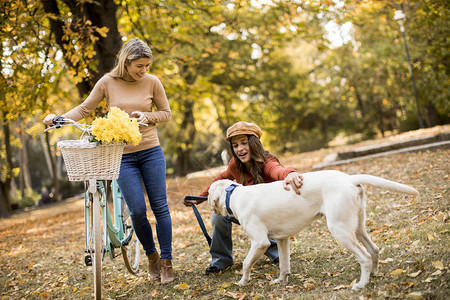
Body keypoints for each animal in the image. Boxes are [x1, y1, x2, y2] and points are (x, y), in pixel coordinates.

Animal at [207, 171, 418, 290]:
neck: (233, 194)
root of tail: (350, 178)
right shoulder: (283, 239)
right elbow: (284, 265)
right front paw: (281, 282)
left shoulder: (260, 242)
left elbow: (246, 264)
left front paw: (242, 283)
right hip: (357, 227)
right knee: (373, 249)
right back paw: (373, 274)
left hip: (340, 229)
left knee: (364, 256)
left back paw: (361, 284)